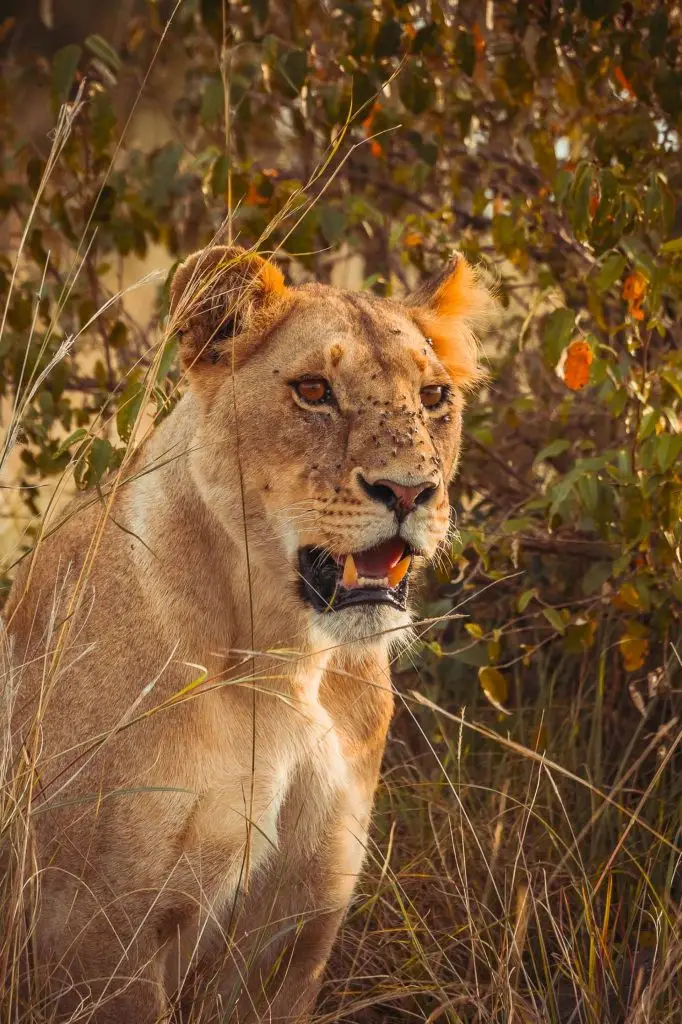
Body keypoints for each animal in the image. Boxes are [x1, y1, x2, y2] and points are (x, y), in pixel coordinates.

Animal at [1, 244, 492, 1022]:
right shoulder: (95, 929)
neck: (287, 662)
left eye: (435, 396)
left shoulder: (294, 930)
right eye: (315, 390)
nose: (411, 492)